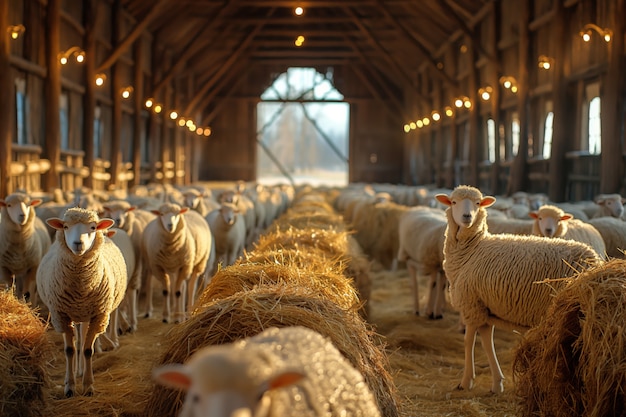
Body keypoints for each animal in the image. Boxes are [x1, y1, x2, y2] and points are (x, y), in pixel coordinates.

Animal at [35, 208, 128, 396]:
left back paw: (82, 371)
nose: (78, 243)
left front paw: (88, 385)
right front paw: (70, 386)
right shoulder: (61, 316)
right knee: (78, 341)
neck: (80, 289)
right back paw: (77, 371)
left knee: (83, 340)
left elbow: (87, 350)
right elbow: (70, 350)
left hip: (86, 315)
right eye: (65, 226)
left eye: (93, 227)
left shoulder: (98, 316)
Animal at [434, 185, 600, 394]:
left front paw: (466, 382)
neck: (473, 249)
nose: (466, 216)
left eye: (478, 203)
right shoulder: (484, 305)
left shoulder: (471, 304)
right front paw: (497, 383)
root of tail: (595, 260)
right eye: (454, 202)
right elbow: (487, 342)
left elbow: (468, 341)